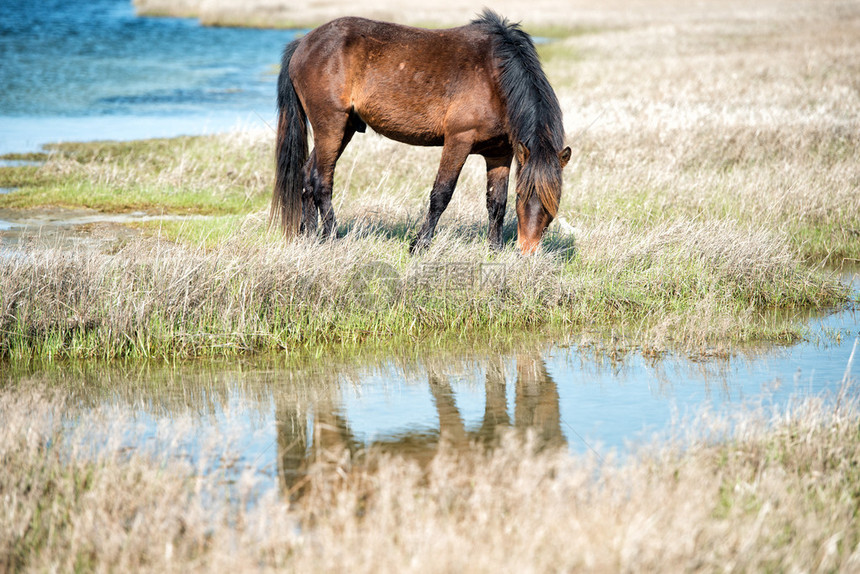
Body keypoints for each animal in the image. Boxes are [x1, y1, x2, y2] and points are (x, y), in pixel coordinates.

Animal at [270, 10, 572, 254]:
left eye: (554, 200)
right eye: (524, 195)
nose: (527, 251)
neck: (495, 76)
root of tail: (303, 43)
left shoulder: (499, 154)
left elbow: (496, 203)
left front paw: (495, 249)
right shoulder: (458, 141)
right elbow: (441, 195)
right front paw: (419, 244)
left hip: (343, 128)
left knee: (307, 176)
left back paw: (310, 236)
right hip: (331, 123)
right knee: (321, 181)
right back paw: (333, 237)